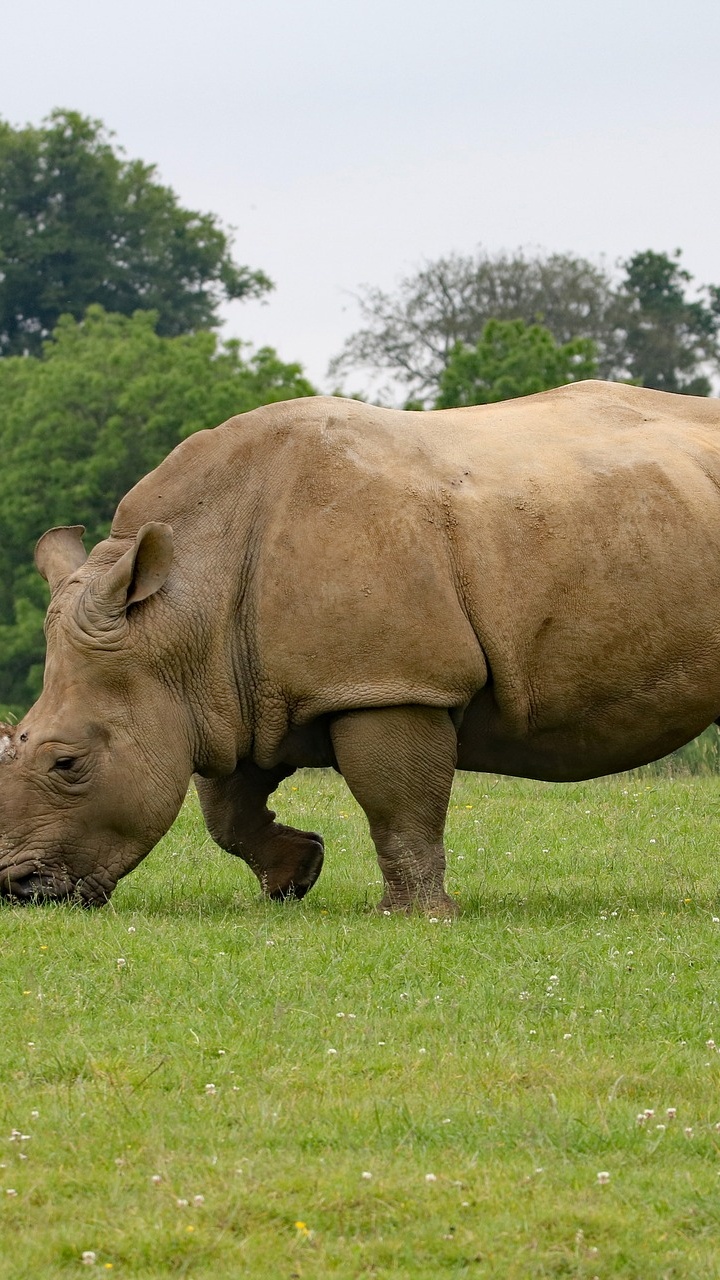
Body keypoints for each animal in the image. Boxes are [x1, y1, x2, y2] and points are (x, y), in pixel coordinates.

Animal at [1, 379, 720, 913]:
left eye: (66, 763)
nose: (18, 890)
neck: (181, 613)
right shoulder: (231, 691)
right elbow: (226, 809)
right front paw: (295, 877)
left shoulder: (388, 683)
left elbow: (397, 802)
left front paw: (420, 916)